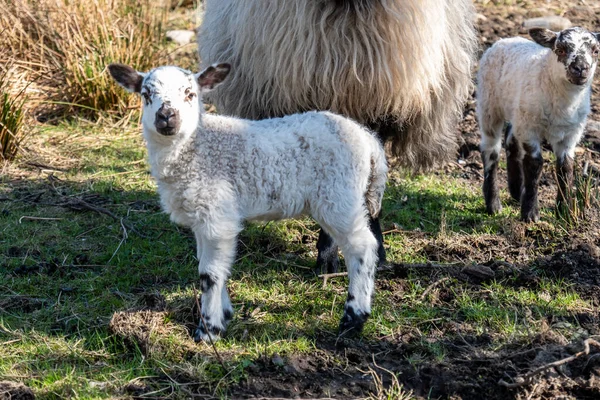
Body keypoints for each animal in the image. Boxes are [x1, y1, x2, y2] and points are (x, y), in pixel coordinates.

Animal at [108, 61, 390, 340]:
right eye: (146, 95)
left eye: (190, 94)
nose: (167, 116)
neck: (197, 146)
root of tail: (368, 141)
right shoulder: (203, 217)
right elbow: (213, 266)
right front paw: (224, 314)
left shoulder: (218, 214)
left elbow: (208, 274)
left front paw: (208, 330)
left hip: (339, 197)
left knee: (363, 248)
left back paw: (353, 319)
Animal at [478, 28, 600, 222]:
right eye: (561, 50)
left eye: (595, 51)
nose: (580, 68)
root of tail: (503, 40)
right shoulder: (530, 129)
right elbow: (534, 164)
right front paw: (530, 214)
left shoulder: (570, 134)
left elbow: (565, 168)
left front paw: (564, 212)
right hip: (489, 106)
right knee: (491, 150)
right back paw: (493, 205)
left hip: (518, 113)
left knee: (511, 141)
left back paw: (516, 191)